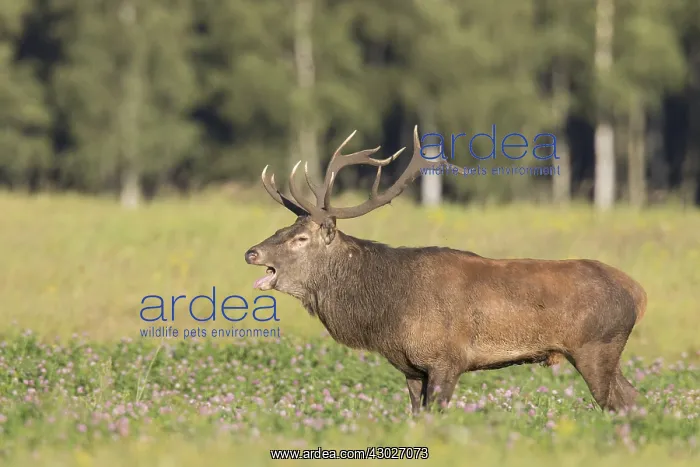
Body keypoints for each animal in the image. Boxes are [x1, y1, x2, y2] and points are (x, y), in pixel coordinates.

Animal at [244, 125, 647, 415]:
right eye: (282, 228)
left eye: (300, 238)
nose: (251, 252)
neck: (387, 312)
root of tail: (639, 292)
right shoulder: (411, 369)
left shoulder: (447, 360)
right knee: (634, 400)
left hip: (598, 346)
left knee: (619, 403)